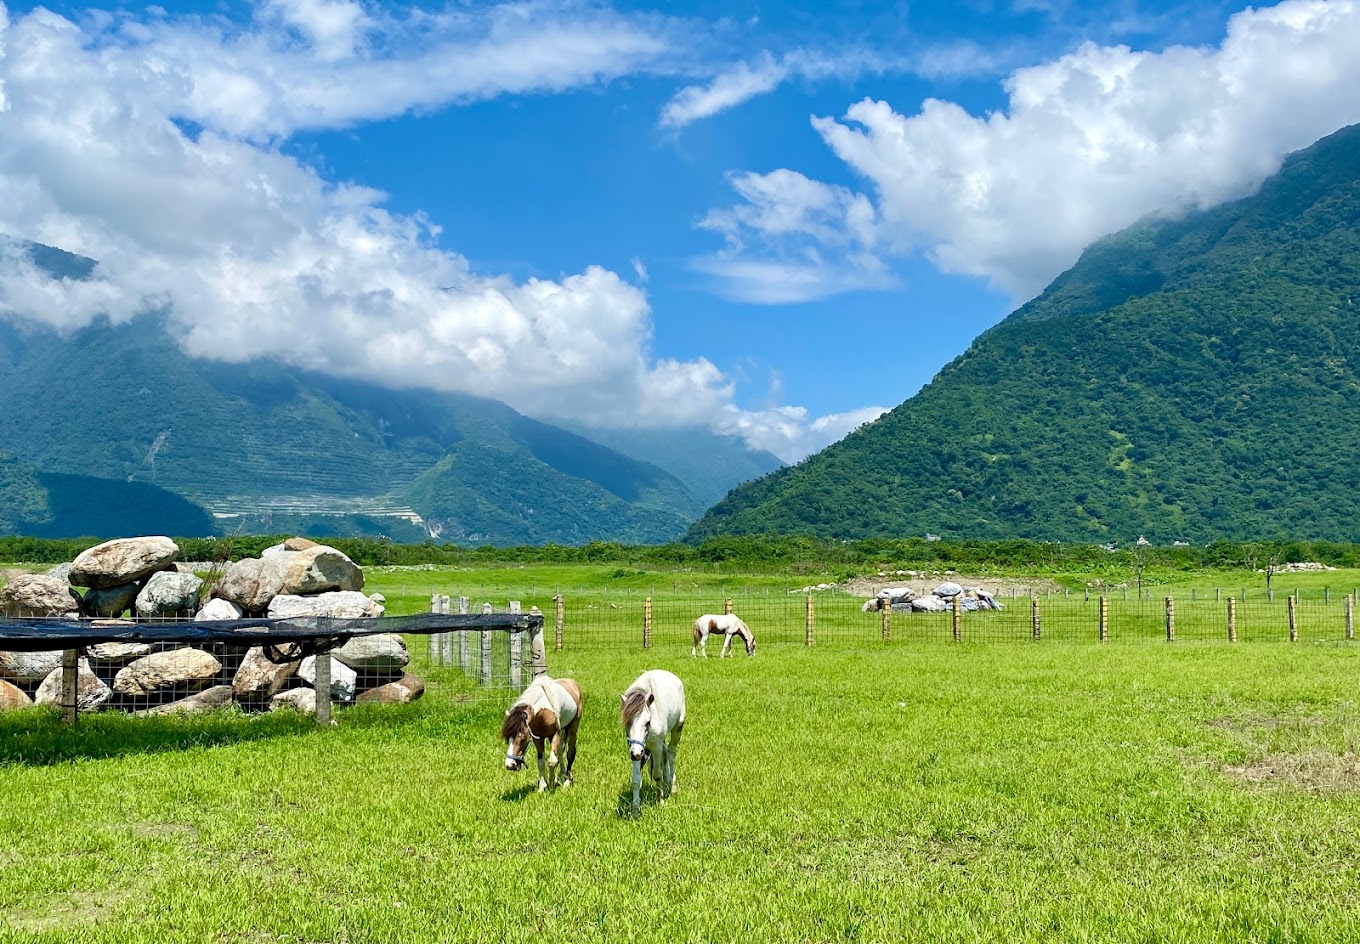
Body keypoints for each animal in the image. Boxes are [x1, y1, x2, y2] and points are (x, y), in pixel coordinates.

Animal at [625, 669, 690, 816]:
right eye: (627, 722)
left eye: (647, 722)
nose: (636, 753)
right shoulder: (637, 750)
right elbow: (636, 780)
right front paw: (635, 810)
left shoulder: (655, 747)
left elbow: (657, 775)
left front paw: (660, 802)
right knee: (665, 754)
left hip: (678, 727)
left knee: (670, 753)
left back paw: (672, 787)